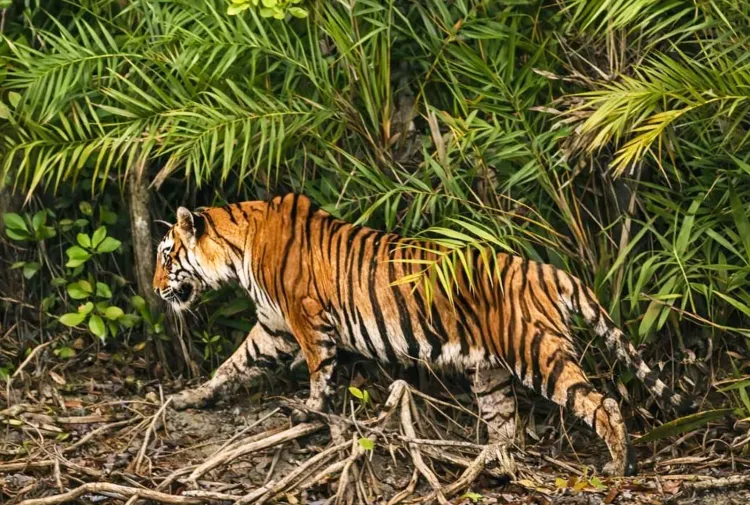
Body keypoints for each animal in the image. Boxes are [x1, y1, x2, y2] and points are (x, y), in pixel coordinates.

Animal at [152, 193, 693, 477]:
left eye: (164, 254)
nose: (156, 289)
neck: (237, 250)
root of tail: (547, 270)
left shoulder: (307, 321)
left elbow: (318, 373)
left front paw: (309, 414)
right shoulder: (273, 327)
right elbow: (231, 365)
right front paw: (189, 398)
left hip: (537, 351)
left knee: (600, 402)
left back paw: (618, 467)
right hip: (491, 371)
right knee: (506, 425)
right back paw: (492, 460)